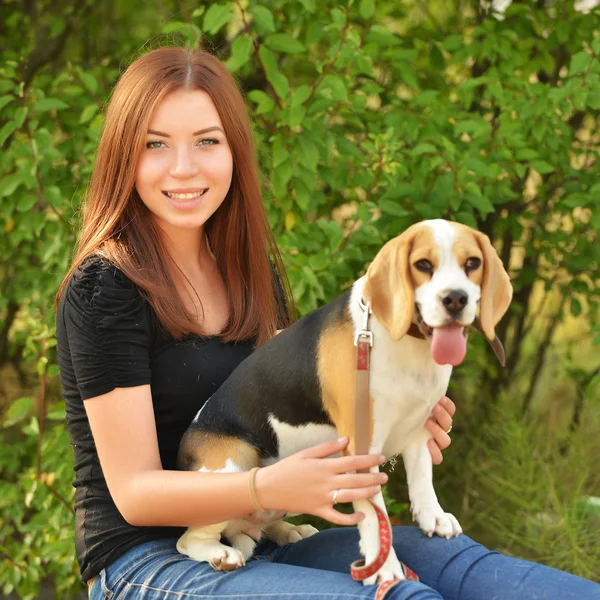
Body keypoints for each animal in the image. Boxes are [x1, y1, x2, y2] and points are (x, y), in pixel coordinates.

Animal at [175, 218, 510, 584]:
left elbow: (422, 477)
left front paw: (431, 516)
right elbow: (374, 515)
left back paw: (289, 531)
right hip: (234, 462)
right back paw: (220, 553)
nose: (456, 299)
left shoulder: (419, 424)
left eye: (472, 263)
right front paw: (384, 567)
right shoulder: (361, 450)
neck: (407, 345)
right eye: (423, 265)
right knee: (188, 541)